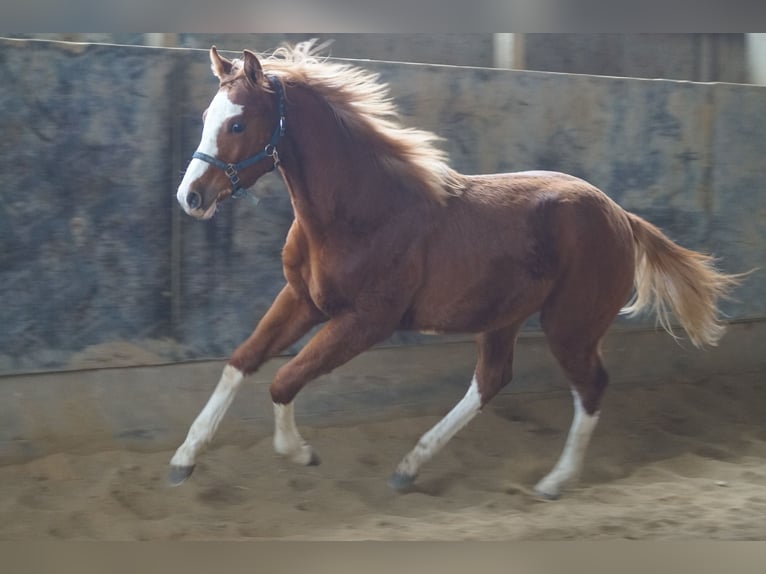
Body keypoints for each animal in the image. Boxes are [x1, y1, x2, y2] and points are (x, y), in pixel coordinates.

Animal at [170, 41, 744, 500]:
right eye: (204, 117)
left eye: (238, 123)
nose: (190, 197)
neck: (359, 211)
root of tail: (621, 216)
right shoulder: (302, 301)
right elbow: (241, 363)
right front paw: (182, 460)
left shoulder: (366, 322)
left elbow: (283, 380)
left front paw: (299, 452)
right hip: (503, 319)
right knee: (492, 380)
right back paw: (409, 468)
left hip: (570, 326)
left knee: (591, 386)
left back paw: (554, 482)